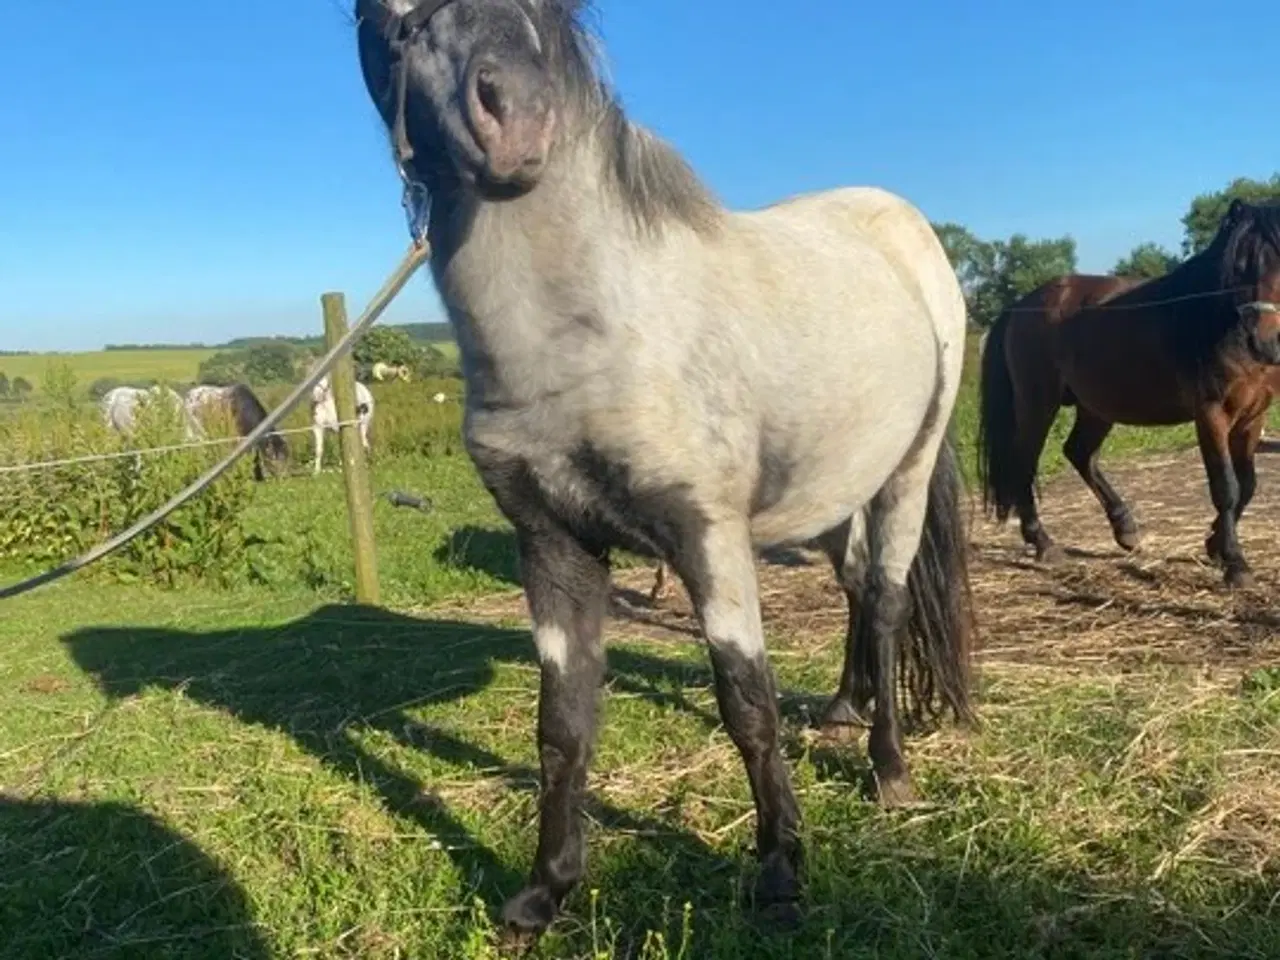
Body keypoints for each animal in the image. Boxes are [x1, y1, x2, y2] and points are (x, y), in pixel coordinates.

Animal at [977, 200, 1280, 586]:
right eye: (1239, 266)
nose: (1265, 342)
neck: (1215, 319)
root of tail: (1020, 305)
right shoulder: (1211, 415)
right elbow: (1226, 487)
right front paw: (1235, 564)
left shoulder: (1253, 417)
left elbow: (1249, 484)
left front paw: (1214, 545)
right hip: (1037, 403)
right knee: (1025, 463)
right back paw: (1044, 543)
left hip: (1096, 407)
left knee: (1079, 453)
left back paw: (1125, 529)